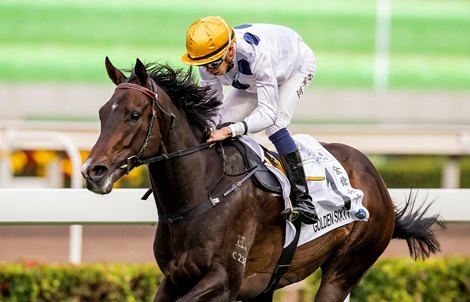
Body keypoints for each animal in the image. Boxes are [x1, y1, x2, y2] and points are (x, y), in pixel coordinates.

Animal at [81, 57, 444, 300]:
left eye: (134, 115)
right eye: (101, 113)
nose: (92, 171)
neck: (202, 193)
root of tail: (376, 181)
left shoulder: (224, 281)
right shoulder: (175, 279)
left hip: (345, 270)